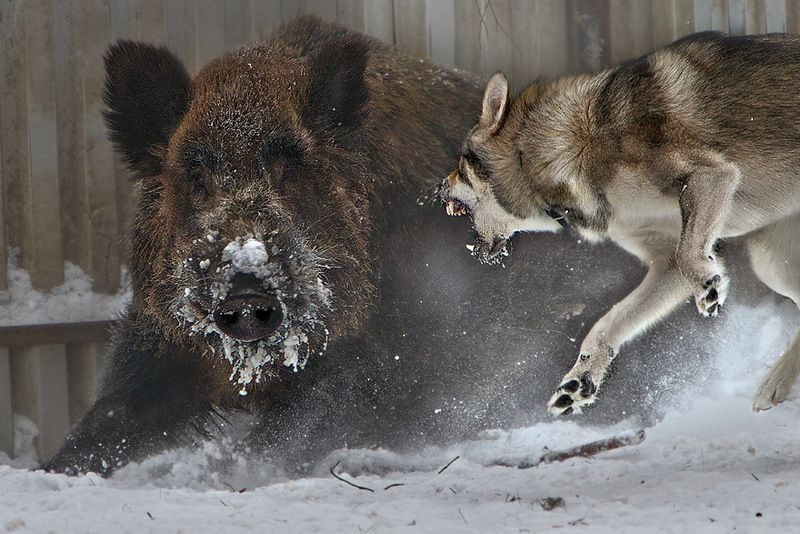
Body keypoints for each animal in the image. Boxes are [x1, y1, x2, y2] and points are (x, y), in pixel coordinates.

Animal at [440, 31, 800, 418]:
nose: (439, 186)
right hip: (770, 262)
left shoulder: (710, 175)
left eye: (461, 165)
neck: (574, 145)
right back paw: (775, 383)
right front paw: (581, 379)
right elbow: (605, 325)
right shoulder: (666, 265)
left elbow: (690, 254)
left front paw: (709, 287)